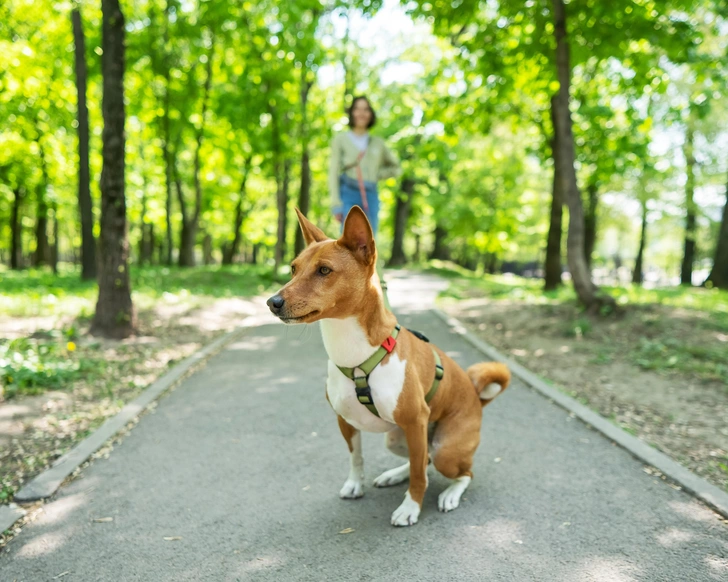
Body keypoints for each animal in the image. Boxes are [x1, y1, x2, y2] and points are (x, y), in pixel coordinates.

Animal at [268, 208, 512, 528]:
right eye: (293, 269)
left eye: (324, 271)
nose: (272, 302)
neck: (355, 355)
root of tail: (476, 396)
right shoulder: (345, 420)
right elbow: (356, 458)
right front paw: (355, 484)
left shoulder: (415, 420)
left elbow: (420, 476)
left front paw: (410, 508)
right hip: (398, 439)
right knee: (421, 459)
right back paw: (393, 475)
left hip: (444, 448)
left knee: (458, 471)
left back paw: (450, 494)